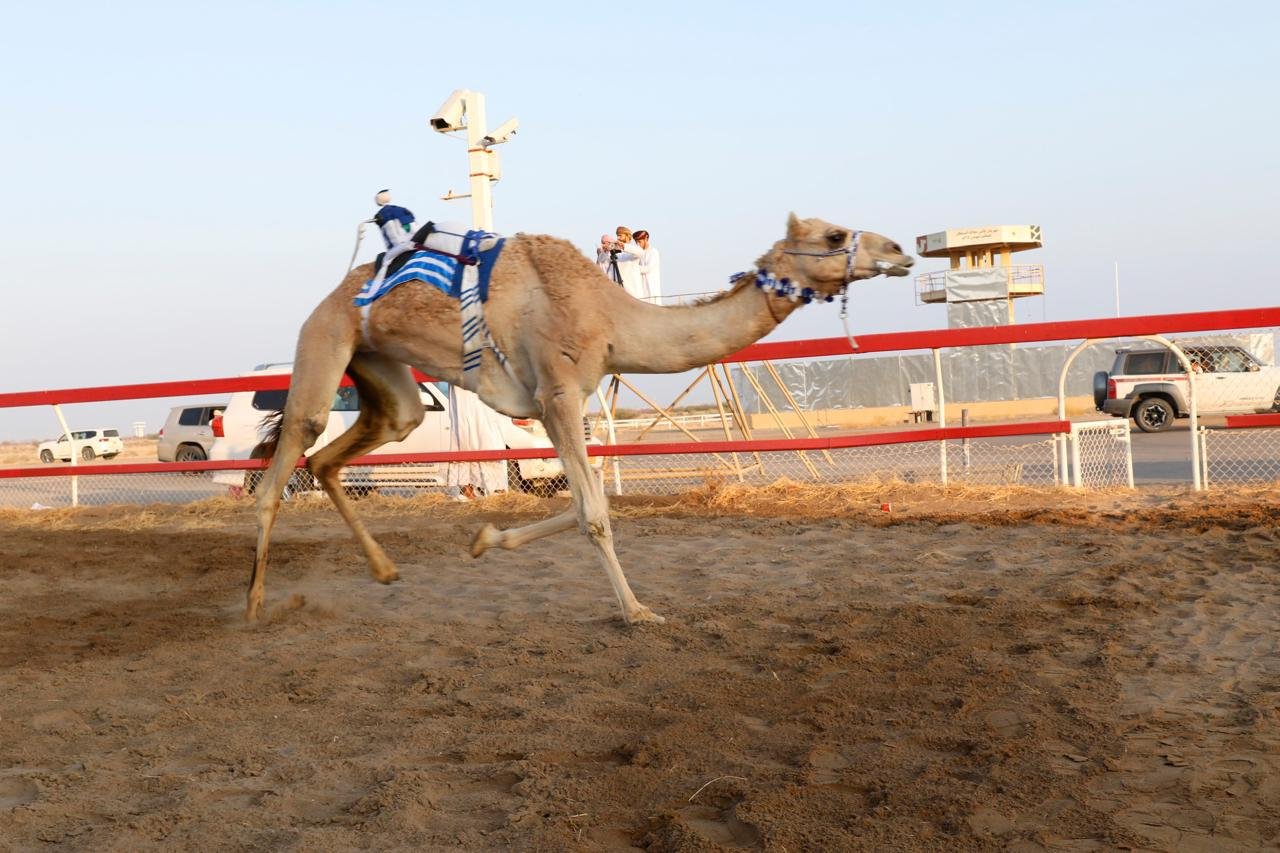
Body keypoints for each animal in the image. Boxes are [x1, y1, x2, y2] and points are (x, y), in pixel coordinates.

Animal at [247, 214, 914, 624]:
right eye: (834, 235)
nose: (899, 250)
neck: (610, 316)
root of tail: (332, 296)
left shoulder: (563, 401)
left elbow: (585, 499)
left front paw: (485, 540)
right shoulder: (559, 393)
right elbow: (593, 511)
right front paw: (637, 611)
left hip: (385, 377)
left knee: (339, 452)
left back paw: (384, 569)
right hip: (324, 341)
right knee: (287, 460)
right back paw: (254, 604)